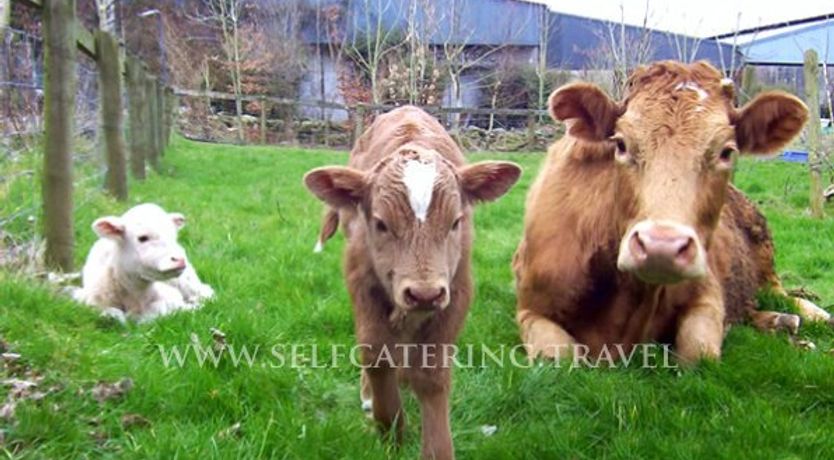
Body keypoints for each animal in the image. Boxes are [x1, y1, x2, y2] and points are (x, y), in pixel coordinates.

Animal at [302, 106, 516, 458]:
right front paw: (391, 429)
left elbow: (431, 374)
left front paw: (437, 449)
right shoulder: (361, 279)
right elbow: (375, 354)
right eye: (380, 223)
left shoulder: (456, 289)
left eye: (456, 221)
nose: (423, 293)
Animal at [510, 60, 828, 362]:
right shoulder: (530, 309)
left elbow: (699, 350)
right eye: (621, 144)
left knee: (784, 294)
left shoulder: (708, 296)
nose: (660, 246)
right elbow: (559, 355)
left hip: (766, 263)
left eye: (726, 151)